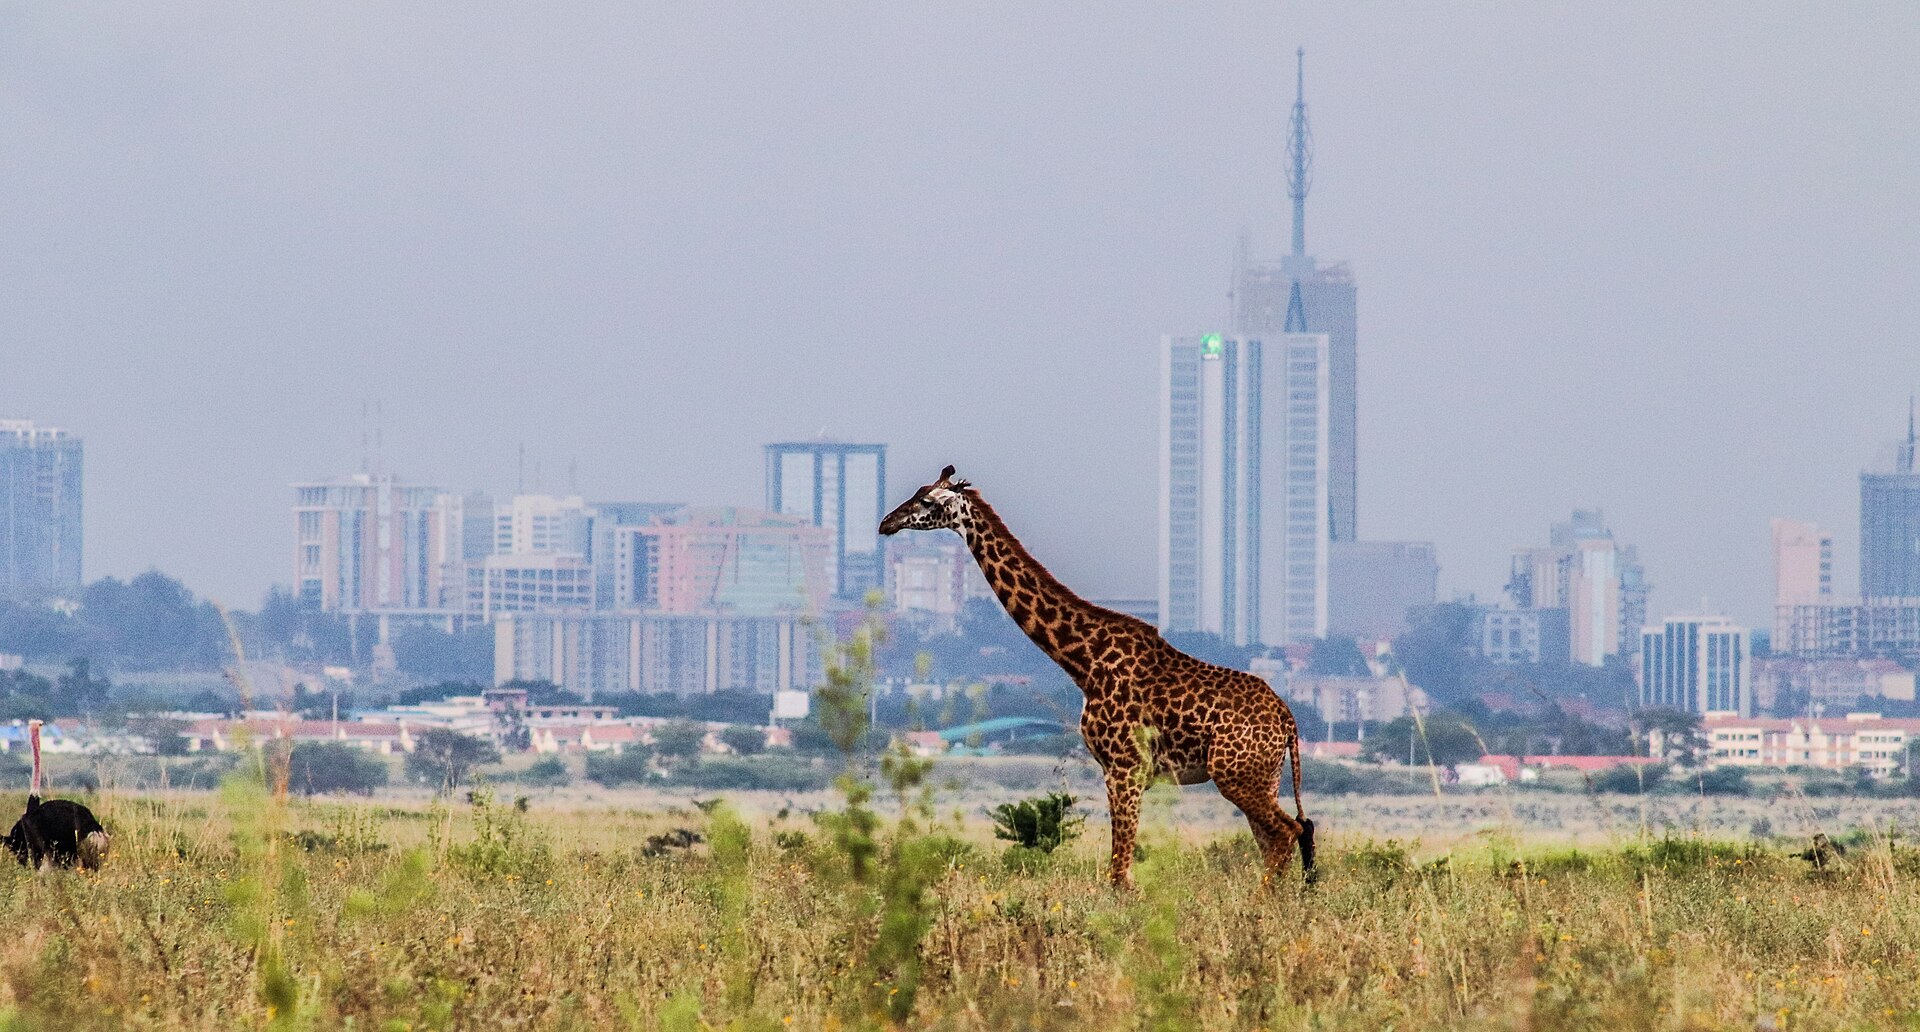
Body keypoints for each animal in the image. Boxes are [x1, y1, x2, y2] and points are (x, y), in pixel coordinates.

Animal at [880, 466, 1314, 888]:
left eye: (926, 500)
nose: (887, 523)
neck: (1084, 662)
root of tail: (1287, 720)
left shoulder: (1125, 768)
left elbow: (1119, 874)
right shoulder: (1119, 770)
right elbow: (1121, 871)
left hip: (1236, 775)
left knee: (1288, 832)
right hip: (1260, 777)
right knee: (1281, 837)